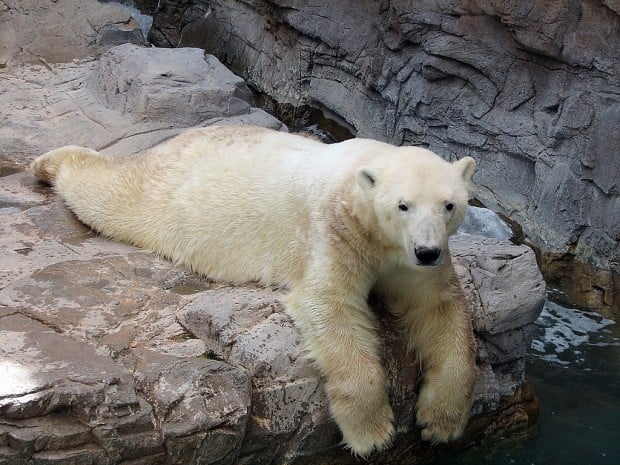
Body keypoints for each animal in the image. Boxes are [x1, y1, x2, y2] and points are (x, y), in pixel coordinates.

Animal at [31, 125, 480, 454]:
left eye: (449, 205)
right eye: (403, 205)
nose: (426, 250)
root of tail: (182, 137)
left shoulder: (410, 260)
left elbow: (438, 308)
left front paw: (440, 420)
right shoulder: (335, 230)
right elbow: (328, 304)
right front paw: (372, 433)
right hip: (163, 192)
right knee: (110, 193)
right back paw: (47, 163)